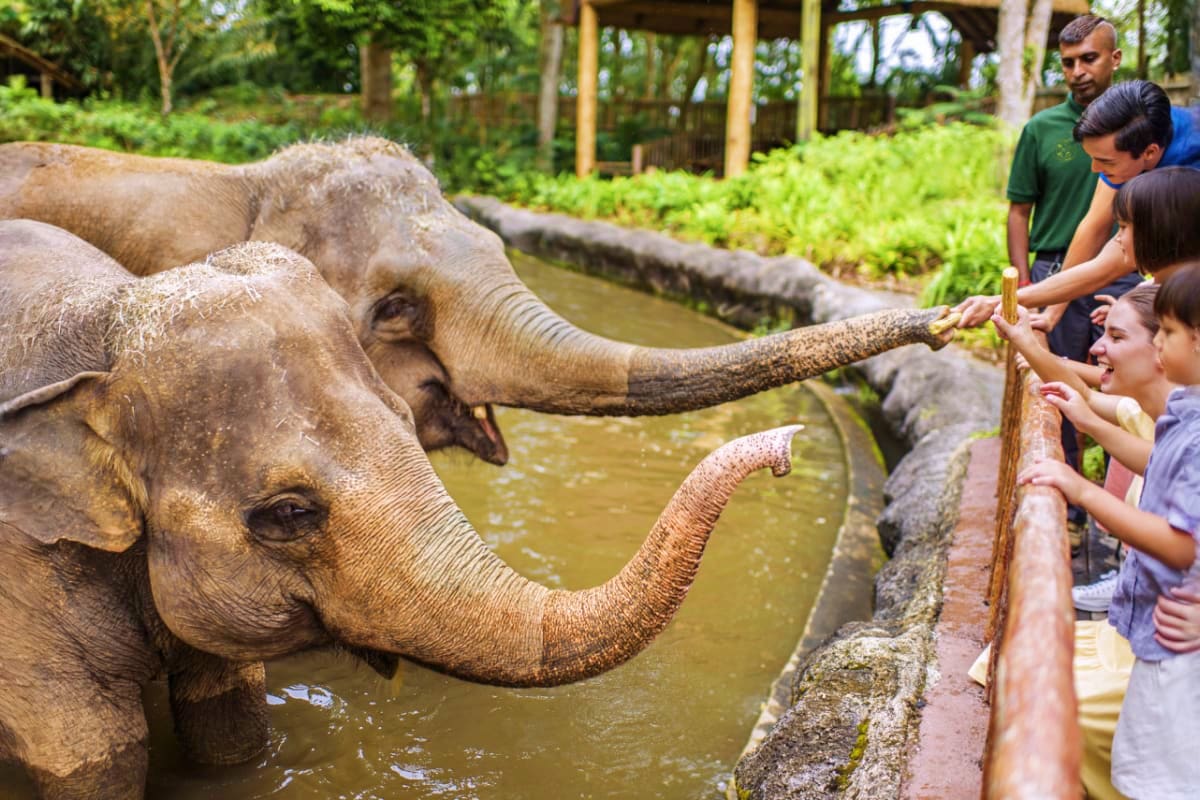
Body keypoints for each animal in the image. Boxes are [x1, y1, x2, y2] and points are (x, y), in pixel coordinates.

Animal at [0, 219, 803, 799]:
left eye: (403, 415)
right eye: (288, 513)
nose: (785, 445)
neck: (102, 330)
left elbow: (230, 728)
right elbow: (93, 758)